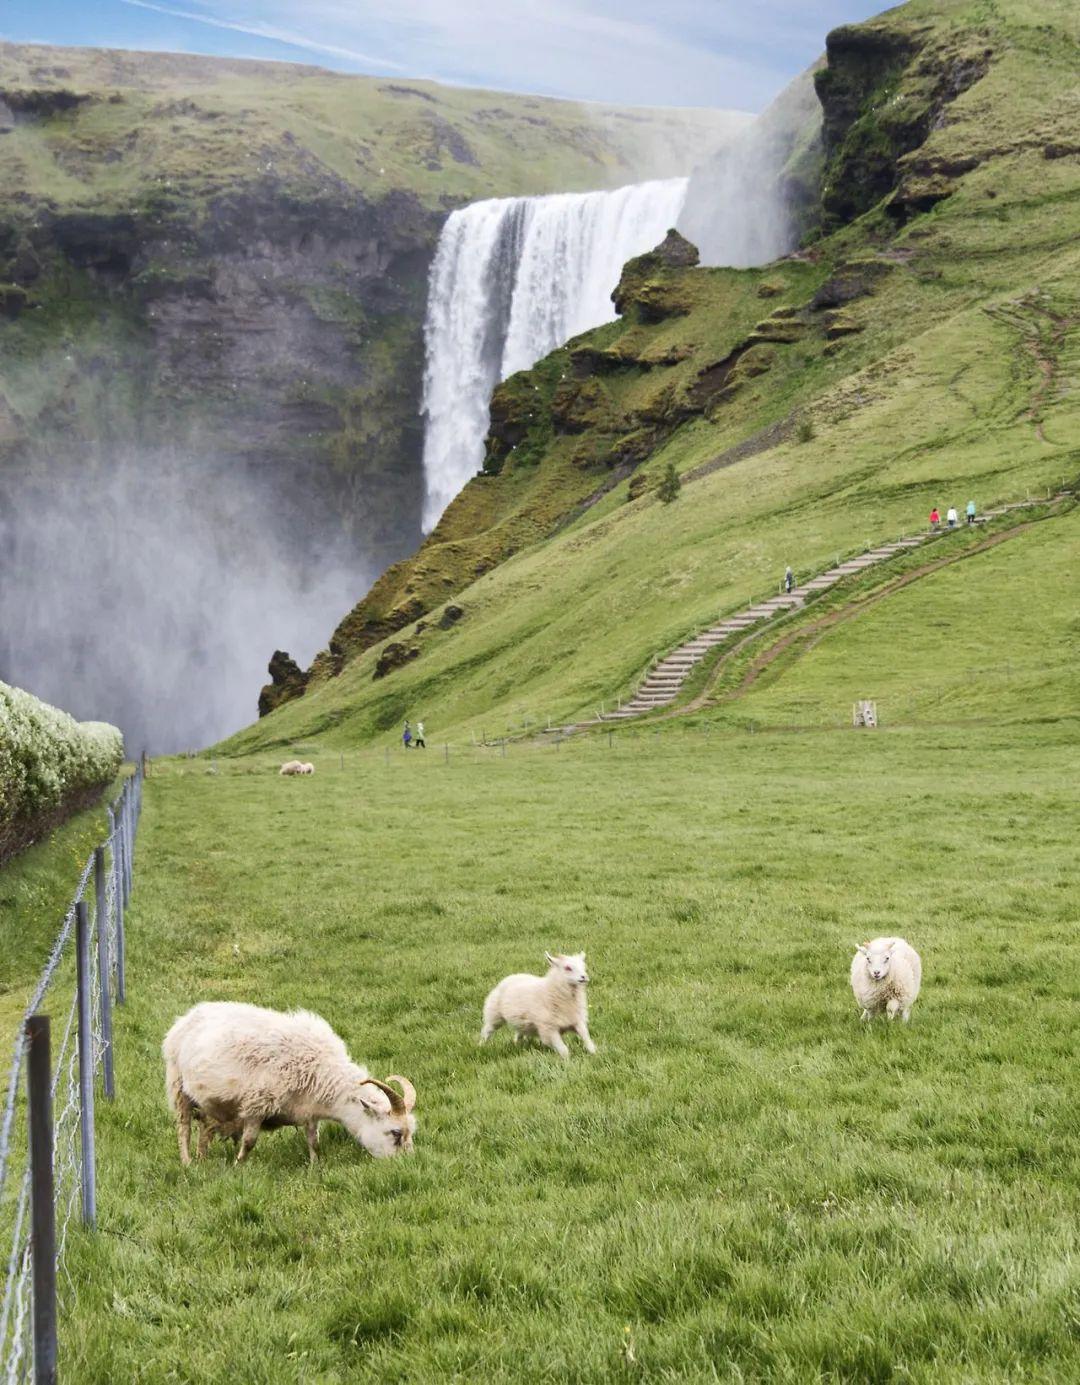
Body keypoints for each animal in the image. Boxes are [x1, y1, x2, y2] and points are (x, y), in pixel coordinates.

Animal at [164, 1002, 418, 1163]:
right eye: (395, 1133)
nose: (406, 1165)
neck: (321, 1070)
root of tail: (187, 1016)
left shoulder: (308, 1111)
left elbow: (313, 1141)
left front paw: (316, 1166)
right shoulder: (257, 1105)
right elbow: (249, 1142)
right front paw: (239, 1167)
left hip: (209, 1104)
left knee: (204, 1127)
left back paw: (202, 1158)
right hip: (178, 1086)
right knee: (184, 1128)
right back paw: (188, 1163)